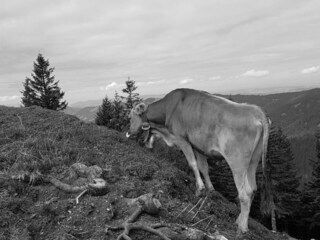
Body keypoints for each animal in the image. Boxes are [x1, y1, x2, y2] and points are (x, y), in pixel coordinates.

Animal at [125, 88, 270, 234]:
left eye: (130, 117)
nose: (128, 134)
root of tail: (257, 111)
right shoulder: (198, 147)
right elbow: (203, 167)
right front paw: (210, 189)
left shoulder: (182, 139)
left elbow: (192, 164)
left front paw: (199, 189)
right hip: (253, 161)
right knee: (252, 189)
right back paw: (239, 220)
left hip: (237, 162)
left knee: (244, 194)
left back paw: (242, 227)